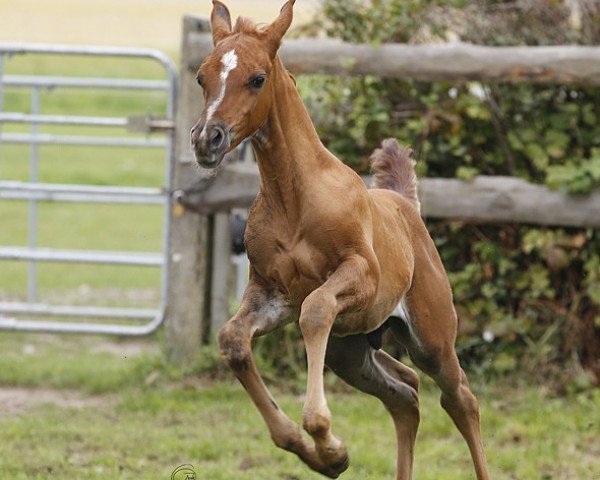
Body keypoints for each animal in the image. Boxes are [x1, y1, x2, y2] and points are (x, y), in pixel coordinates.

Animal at [192, 1, 492, 478]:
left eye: (257, 78)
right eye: (202, 77)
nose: (208, 139)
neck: (294, 198)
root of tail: (405, 203)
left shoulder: (359, 275)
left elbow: (315, 310)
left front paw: (323, 438)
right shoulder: (271, 293)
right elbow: (232, 339)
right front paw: (325, 454)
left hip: (431, 340)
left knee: (460, 399)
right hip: (349, 349)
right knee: (405, 393)